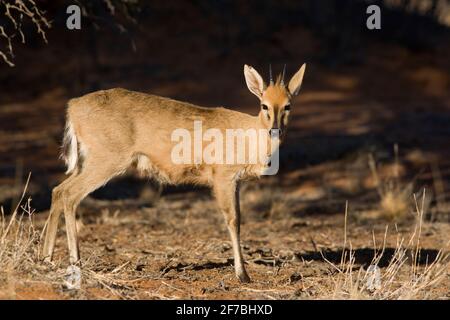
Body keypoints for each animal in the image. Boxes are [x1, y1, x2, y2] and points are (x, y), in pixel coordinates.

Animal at [43, 63, 306, 282]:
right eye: (264, 105)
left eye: (288, 105)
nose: (275, 129)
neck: (249, 136)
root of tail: (72, 107)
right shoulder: (223, 177)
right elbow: (233, 220)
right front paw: (243, 274)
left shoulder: (236, 182)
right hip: (106, 160)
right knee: (69, 195)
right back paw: (74, 262)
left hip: (88, 162)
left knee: (58, 190)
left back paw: (46, 259)